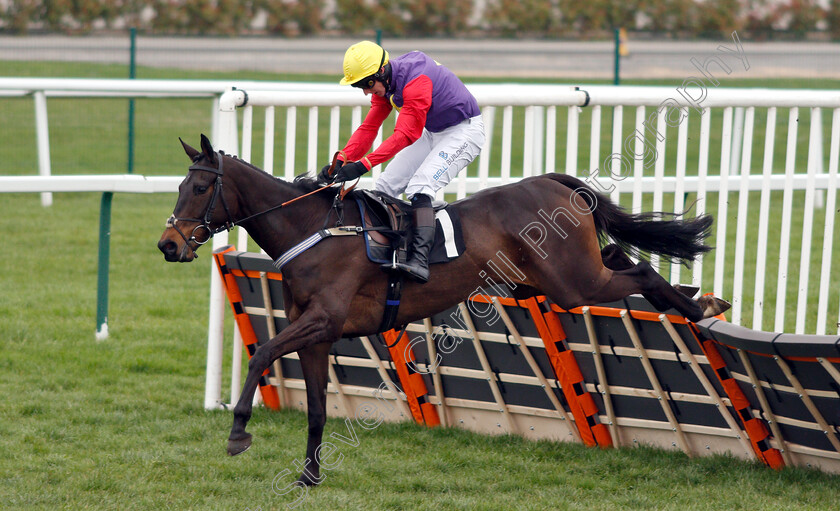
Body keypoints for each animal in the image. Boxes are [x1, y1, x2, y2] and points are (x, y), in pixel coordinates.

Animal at [158, 134, 728, 486]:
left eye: (202, 187)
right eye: (180, 185)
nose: (168, 245)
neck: (313, 232)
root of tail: (552, 181)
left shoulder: (321, 321)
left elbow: (261, 356)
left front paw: (237, 432)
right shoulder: (316, 334)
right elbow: (317, 407)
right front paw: (309, 475)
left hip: (572, 284)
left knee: (642, 272)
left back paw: (700, 307)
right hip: (558, 275)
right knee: (620, 257)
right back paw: (699, 302)